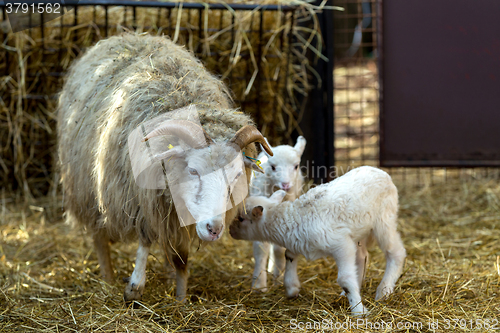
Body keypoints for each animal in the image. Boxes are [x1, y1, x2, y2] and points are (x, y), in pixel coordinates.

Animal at [56, 33, 272, 300]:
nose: (214, 229)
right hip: (87, 189)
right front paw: (135, 286)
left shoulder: (174, 215)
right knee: (99, 236)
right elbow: (145, 239)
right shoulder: (142, 199)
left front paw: (180, 297)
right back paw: (107, 277)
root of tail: (125, 35)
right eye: (193, 171)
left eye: (236, 176)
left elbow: (182, 259)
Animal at [230, 166, 406, 314]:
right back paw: (349, 292)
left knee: (396, 252)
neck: (293, 218)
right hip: (359, 230)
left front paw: (359, 311)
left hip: (384, 219)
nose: (230, 231)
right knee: (362, 257)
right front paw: (292, 288)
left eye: (241, 218)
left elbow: (344, 278)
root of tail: (381, 172)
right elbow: (289, 255)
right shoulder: (298, 241)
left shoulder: (341, 244)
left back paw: (384, 290)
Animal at [249, 136, 306, 290]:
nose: (285, 185)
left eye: (296, 166)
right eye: (273, 167)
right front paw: (259, 285)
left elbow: (279, 249)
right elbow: (261, 248)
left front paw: (278, 278)